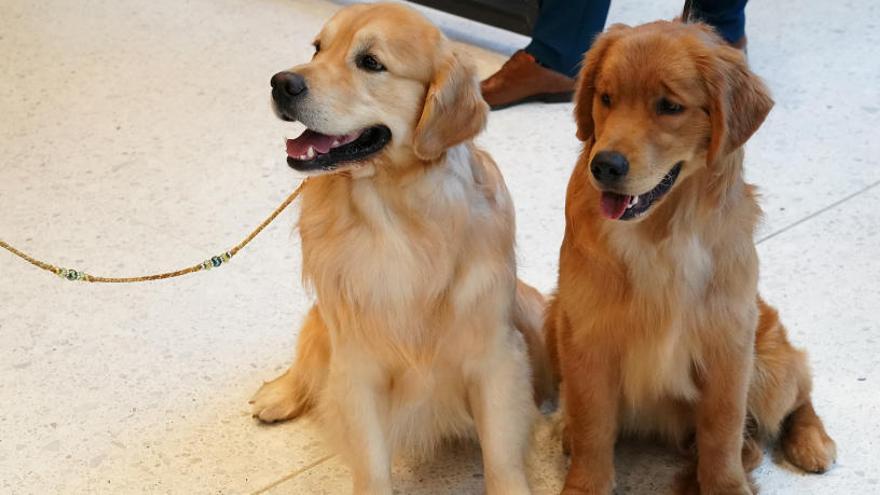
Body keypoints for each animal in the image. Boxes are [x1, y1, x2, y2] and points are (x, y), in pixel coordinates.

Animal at [249, 4, 552, 495]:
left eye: (371, 62)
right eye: (318, 49)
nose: (281, 82)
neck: (390, 215)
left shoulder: (495, 358)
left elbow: (501, 456)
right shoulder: (357, 364)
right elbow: (370, 464)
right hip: (322, 320)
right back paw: (279, 394)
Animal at [544, 20, 840, 495]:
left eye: (669, 106)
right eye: (606, 97)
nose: (604, 165)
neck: (661, 232)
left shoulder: (728, 344)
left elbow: (723, 429)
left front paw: (725, 485)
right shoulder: (586, 335)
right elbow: (592, 428)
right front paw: (585, 481)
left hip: (769, 364)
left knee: (799, 393)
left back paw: (812, 442)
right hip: (553, 318)